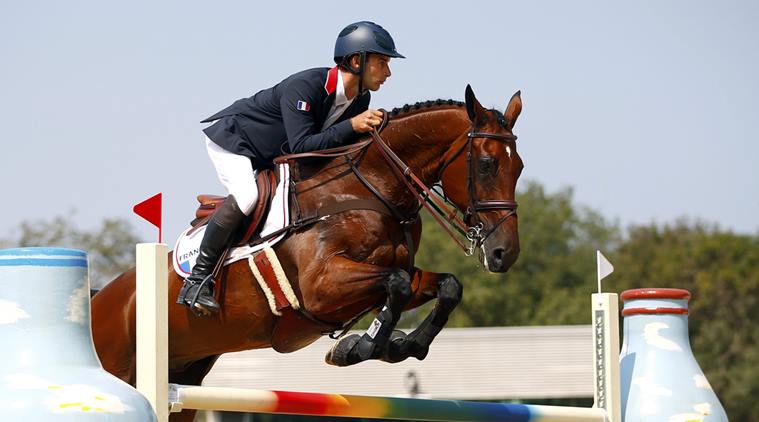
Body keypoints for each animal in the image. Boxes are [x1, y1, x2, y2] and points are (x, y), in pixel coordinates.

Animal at [90, 85, 524, 422]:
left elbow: (444, 287)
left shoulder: (385, 277)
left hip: (185, 379)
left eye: (518, 167)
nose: (505, 253)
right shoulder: (322, 288)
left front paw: (397, 345)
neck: (368, 188)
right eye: (487, 164)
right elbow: (397, 285)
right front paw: (359, 348)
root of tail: (100, 300)